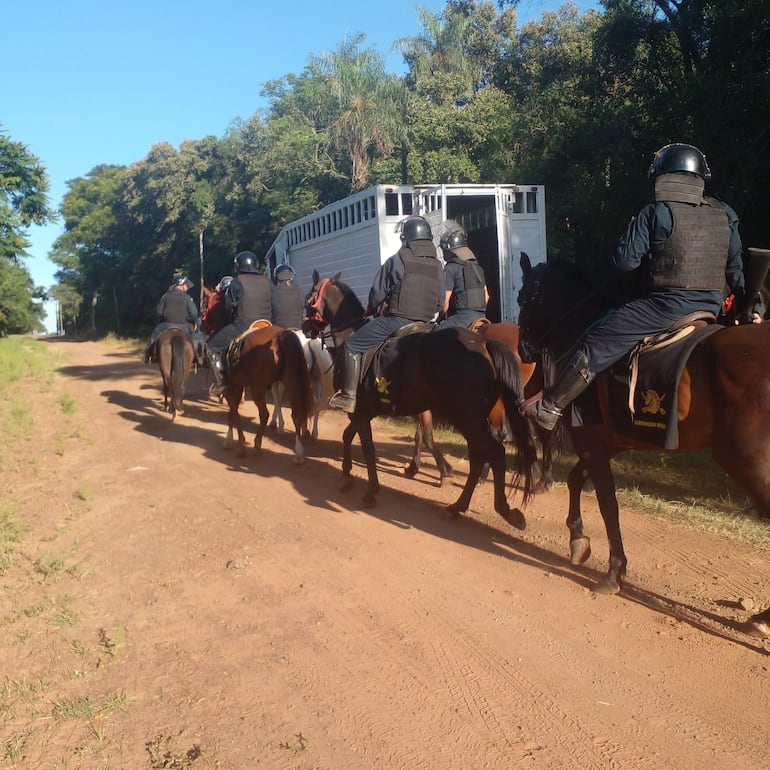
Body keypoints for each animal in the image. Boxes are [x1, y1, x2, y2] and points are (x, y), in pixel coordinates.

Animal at [222, 322, 316, 462]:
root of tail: (280, 335)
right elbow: (233, 413)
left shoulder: (233, 388)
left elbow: (233, 413)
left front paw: (236, 443)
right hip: (291, 383)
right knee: (297, 415)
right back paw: (298, 452)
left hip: (257, 388)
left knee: (264, 414)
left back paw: (257, 444)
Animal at [304, 272, 536, 524]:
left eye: (308, 298)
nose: (305, 328)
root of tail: (484, 343)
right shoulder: (365, 411)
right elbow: (351, 436)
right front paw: (348, 475)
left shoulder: (361, 411)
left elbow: (370, 447)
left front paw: (372, 490)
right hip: (474, 417)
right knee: (480, 454)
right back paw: (459, 505)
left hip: (467, 418)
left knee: (493, 452)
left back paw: (503, 508)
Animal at [512, 250, 768, 636]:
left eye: (524, 297)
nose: (524, 351)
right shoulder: (606, 443)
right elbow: (575, 480)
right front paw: (578, 541)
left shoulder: (591, 444)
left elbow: (608, 506)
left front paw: (614, 571)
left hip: (749, 464)